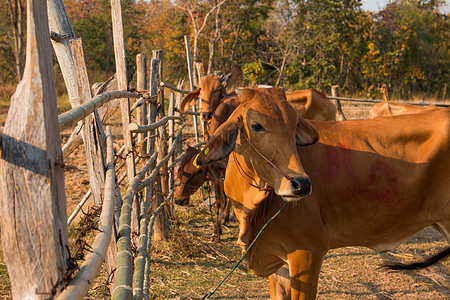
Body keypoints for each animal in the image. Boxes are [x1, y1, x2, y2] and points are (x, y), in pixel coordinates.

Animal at [195, 88, 448, 298]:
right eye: (257, 125)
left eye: (295, 125)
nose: (301, 184)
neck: (253, 210)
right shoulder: (279, 263)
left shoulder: (306, 254)